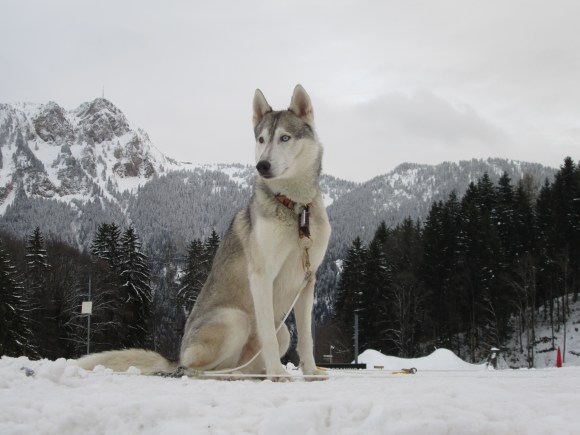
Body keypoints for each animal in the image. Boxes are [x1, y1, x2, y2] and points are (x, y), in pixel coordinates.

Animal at [77, 85, 330, 378]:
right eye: (262, 139)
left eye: (285, 137)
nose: (262, 165)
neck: (295, 209)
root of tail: (176, 356)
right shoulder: (262, 275)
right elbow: (267, 332)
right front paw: (278, 374)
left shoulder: (307, 280)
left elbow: (307, 338)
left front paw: (310, 371)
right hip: (234, 319)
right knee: (194, 368)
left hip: (281, 334)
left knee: (244, 364)